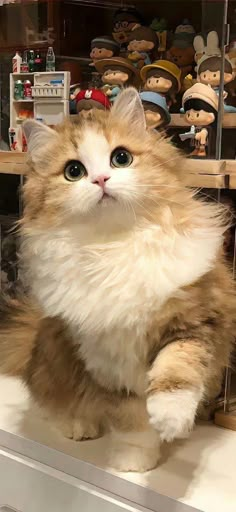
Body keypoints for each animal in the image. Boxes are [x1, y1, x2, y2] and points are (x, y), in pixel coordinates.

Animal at [0, 87, 236, 472]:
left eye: (120, 158)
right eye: (74, 171)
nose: (101, 180)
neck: (114, 246)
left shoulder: (196, 321)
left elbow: (177, 370)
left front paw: (170, 419)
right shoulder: (104, 360)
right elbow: (131, 420)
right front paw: (135, 461)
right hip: (53, 356)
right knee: (51, 400)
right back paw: (79, 426)